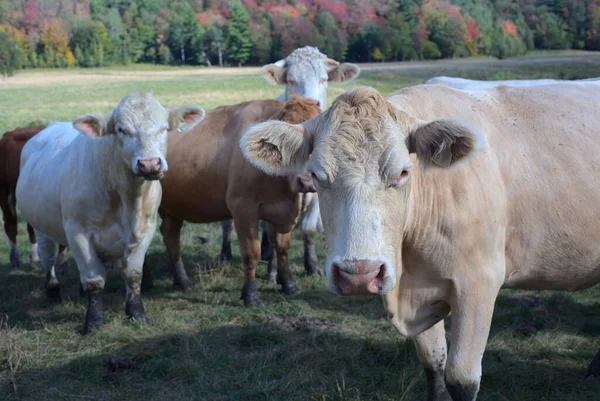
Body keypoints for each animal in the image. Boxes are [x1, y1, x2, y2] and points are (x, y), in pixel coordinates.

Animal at [0, 126, 68, 268]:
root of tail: (10, 133)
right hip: (4, 190)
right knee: (10, 224)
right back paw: (16, 258)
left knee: (31, 227)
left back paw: (35, 257)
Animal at [16, 92, 205, 332]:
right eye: (121, 129)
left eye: (164, 128)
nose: (150, 164)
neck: (126, 198)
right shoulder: (78, 232)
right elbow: (94, 280)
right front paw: (94, 322)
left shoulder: (146, 229)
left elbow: (134, 274)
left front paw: (136, 313)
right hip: (40, 224)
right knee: (47, 256)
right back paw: (52, 289)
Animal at [157, 97, 322, 304]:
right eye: (287, 141)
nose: (307, 181)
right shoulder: (243, 208)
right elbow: (252, 253)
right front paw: (250, 295)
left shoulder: (283, 210)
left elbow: (283, 249)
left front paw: (289, 285)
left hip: (174, 207)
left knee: (171, 238)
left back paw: (182, 281)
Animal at [220, 43, 360, 276]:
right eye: (292, 80)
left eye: (324, 79)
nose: (313, 102)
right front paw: (273, 271)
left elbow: (309, 230)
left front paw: (312, 266)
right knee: (228, 224)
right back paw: (227, 255)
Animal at [241, 83, 600, 398]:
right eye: (317, 175)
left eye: (402, 172)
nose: (359, 274)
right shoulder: (420, 289)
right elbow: (433, 365)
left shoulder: (479, 283)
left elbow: (462, 379)